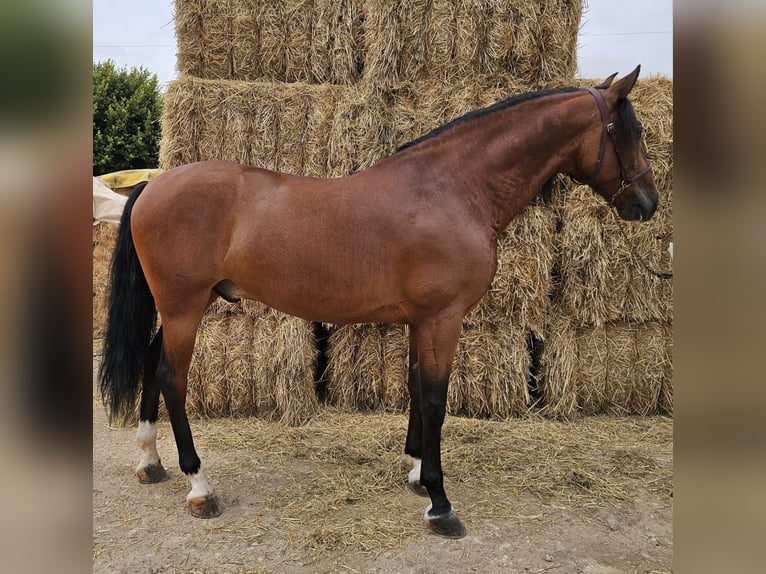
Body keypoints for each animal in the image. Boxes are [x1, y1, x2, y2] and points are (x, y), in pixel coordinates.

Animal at [97, 67, 660, 540]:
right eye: (629, 132)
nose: (647, 204)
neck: (452, 189)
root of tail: (151, 186)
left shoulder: (422, 321)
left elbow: (415, 390)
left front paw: (415, 472)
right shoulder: (443, 319)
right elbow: (434, 400)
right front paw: (440, 503)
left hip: (178, 309)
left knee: (152, 363)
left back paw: (150, 463)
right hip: (185, 307)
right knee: (171, 377)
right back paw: (199, 485)